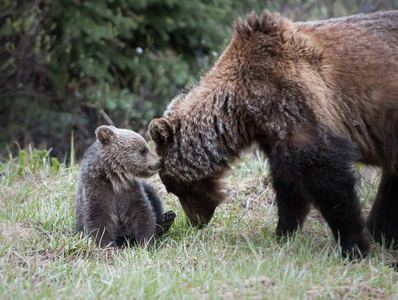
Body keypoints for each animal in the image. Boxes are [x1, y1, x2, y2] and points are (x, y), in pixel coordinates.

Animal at [149, 9, 398, 258]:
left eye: (173, 187)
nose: (196, 222)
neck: (243, 109)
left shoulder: (294, 103)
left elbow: (325, 173)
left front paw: (353, 245)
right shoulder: (273, 130)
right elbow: (287, 183)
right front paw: (283, 233)